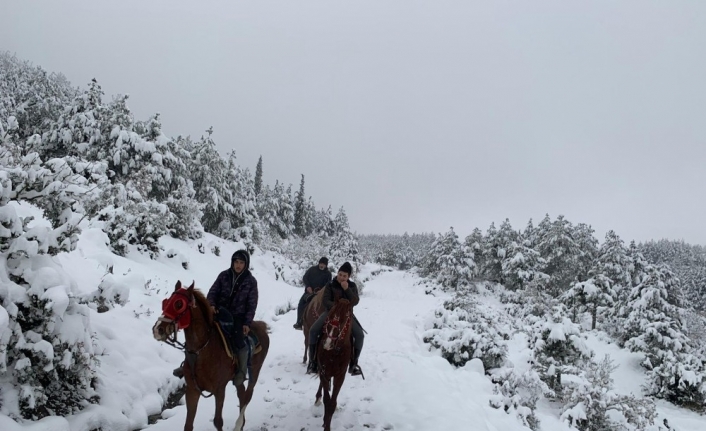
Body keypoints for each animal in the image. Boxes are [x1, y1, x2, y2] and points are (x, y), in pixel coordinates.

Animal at [151, 280, 270, 431]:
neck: (202, 352)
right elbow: (188, 425)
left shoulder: (219, 390)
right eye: (165, 302)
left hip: (255, 371)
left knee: (248, 395)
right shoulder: (192, 390)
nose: (157, 329)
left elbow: (218, 421)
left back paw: (238, 424)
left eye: (178, 304)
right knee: (241, 393)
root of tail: (261, 326)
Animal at [312, 298, 350, 431]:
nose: (328, 343)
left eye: (344, 319)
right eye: (331, 313)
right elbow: (327, 400)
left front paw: (327, 422)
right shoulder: (324, 372)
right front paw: (325, 423)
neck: (335, 352)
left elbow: (332, 403)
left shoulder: (340, 376)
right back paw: (318, 398)